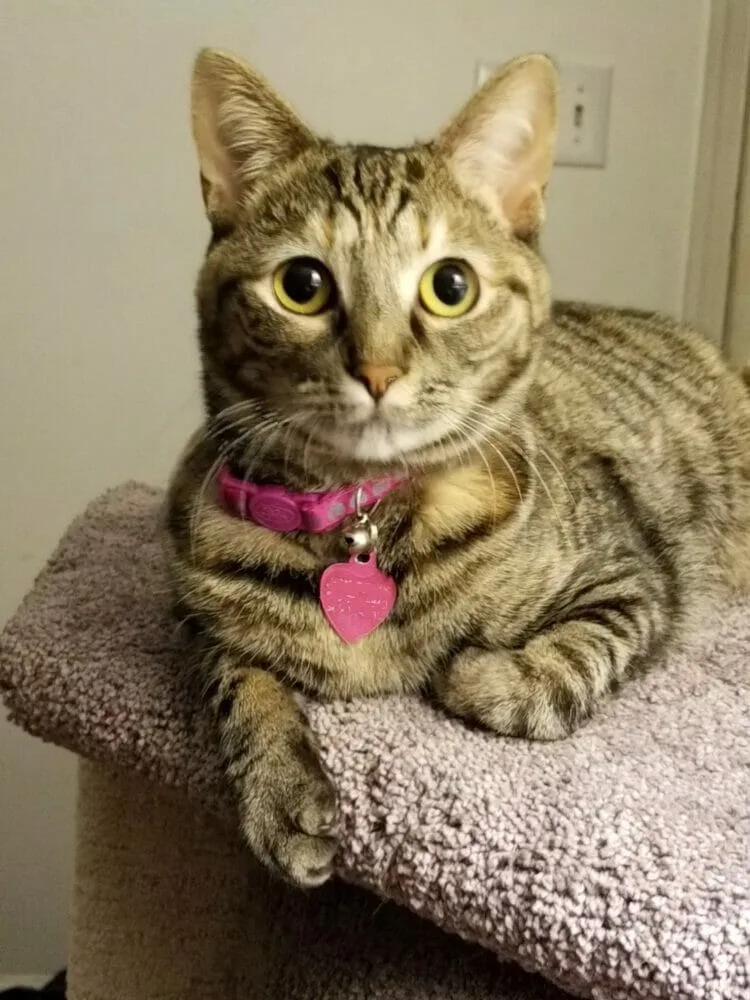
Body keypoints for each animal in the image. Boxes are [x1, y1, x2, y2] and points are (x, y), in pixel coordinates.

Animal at [166, 48, 750, 888]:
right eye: (301, 285)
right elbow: (237, 674)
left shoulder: (636, 574)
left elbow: (577, 649)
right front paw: (282, 788)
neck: (363, 517)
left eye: (450, 286)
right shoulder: (186, 607)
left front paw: (490, 675)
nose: (378, 371)